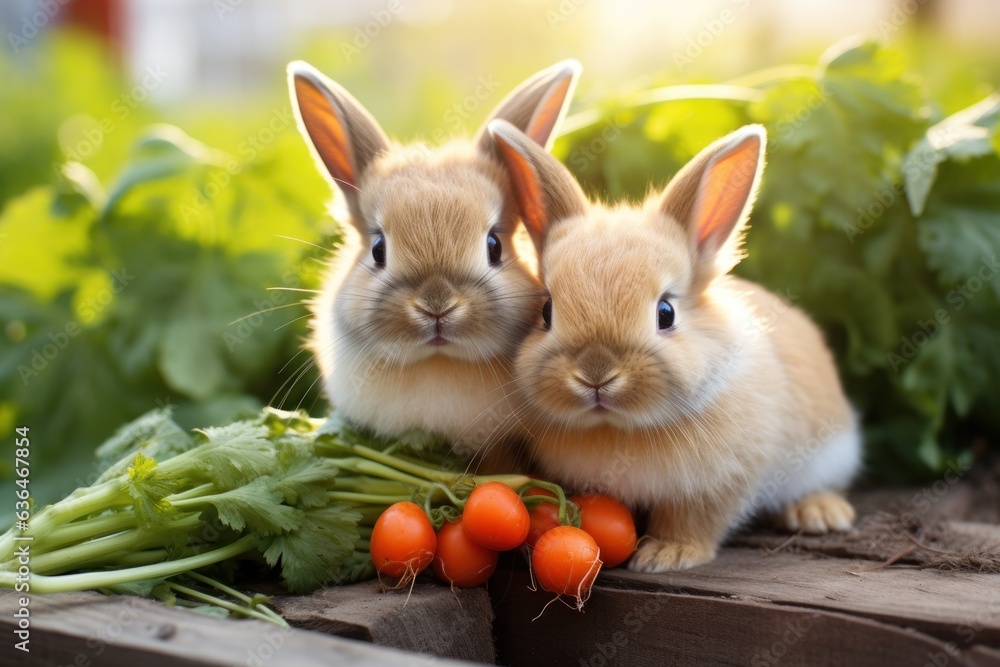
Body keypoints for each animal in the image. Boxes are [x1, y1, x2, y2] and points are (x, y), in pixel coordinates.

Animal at [490, 118, 860, 568]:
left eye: (665, 313)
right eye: (546, 311)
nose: (596, 375)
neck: (620, 428)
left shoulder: (717, 485)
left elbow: (692, 521)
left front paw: (666, 554)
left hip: (829, 452)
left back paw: (820, 513)